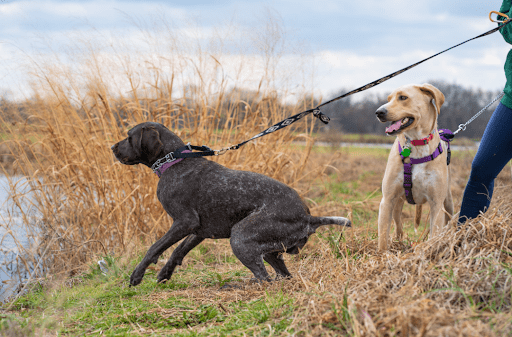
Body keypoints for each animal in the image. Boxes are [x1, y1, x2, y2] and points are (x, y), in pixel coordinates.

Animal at [111, 122, 352, 284]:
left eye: (129, 137)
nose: (112, 147)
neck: (174, 163)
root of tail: (308, 217)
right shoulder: (199, 229)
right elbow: (179, 250)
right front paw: (165, 273)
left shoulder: (184, 222)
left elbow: (155, 247)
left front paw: (137, 274)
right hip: (268, 249)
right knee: (281, 275)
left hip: (240, 236)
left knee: (264, 278)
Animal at [374, 83, 454, 249]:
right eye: (389, 99)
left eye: (403, 97)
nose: (378, 112)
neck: (416, 144)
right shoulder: (387, 200)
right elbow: (383, 237)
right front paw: (382, 254)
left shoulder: (437, 204)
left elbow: (434, 234)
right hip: (397, 203)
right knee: (398, 224)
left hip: (448, 201)